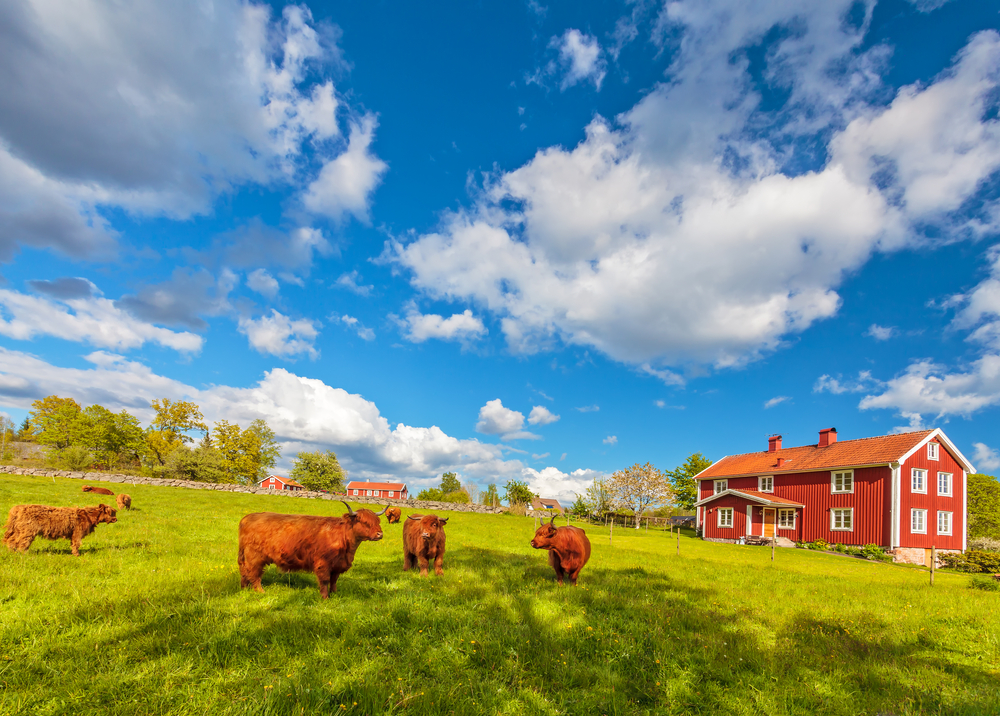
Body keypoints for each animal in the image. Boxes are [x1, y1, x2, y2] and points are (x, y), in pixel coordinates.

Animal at [238, 504, 386, 600]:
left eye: (377, 521)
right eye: (364, 522)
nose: (380, 534)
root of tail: (247, 517)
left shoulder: (338, 565)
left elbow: (334, 580)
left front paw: (335, 594)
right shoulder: (323, 563)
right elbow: (325, 580)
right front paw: (325, 598)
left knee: (245, 571)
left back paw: (244, 589)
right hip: (255, 557)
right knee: (254, 574)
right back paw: (260, 591)